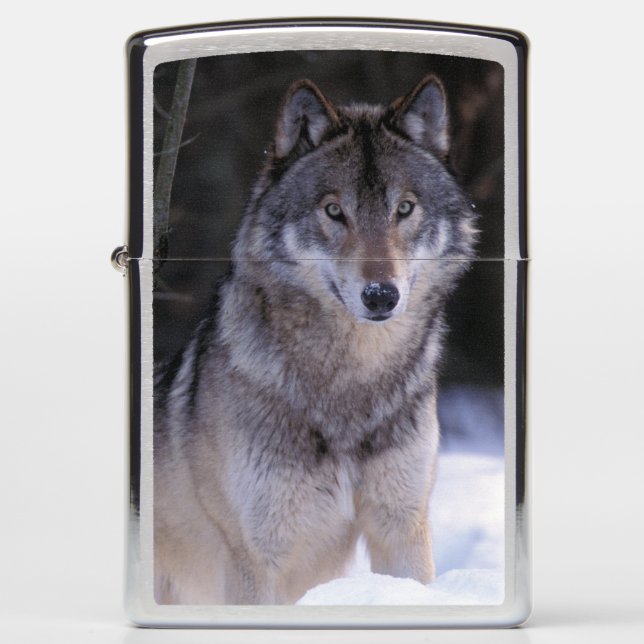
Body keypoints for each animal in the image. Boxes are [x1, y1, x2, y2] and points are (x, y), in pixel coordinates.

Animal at [154, 74, 477, 605]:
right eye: (334, 211)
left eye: (404, 208)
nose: (381, 295)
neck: (351, 385)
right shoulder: (255, 559)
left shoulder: (402, 527)